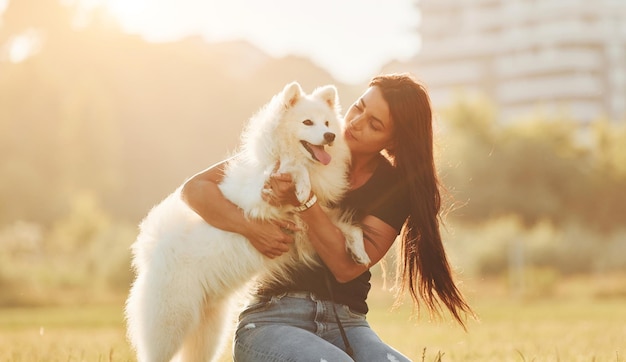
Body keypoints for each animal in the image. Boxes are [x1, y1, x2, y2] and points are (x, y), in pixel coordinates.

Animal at [126, 82, 368, 362]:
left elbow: (348, 228)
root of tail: (153, 252)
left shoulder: (307, 230)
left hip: (209, 331)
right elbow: (294, 170)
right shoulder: (261, 198)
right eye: (308, 122)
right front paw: (302, 185)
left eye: (328, 122)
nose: (330, 136)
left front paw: (359, 252)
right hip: (171, 325)